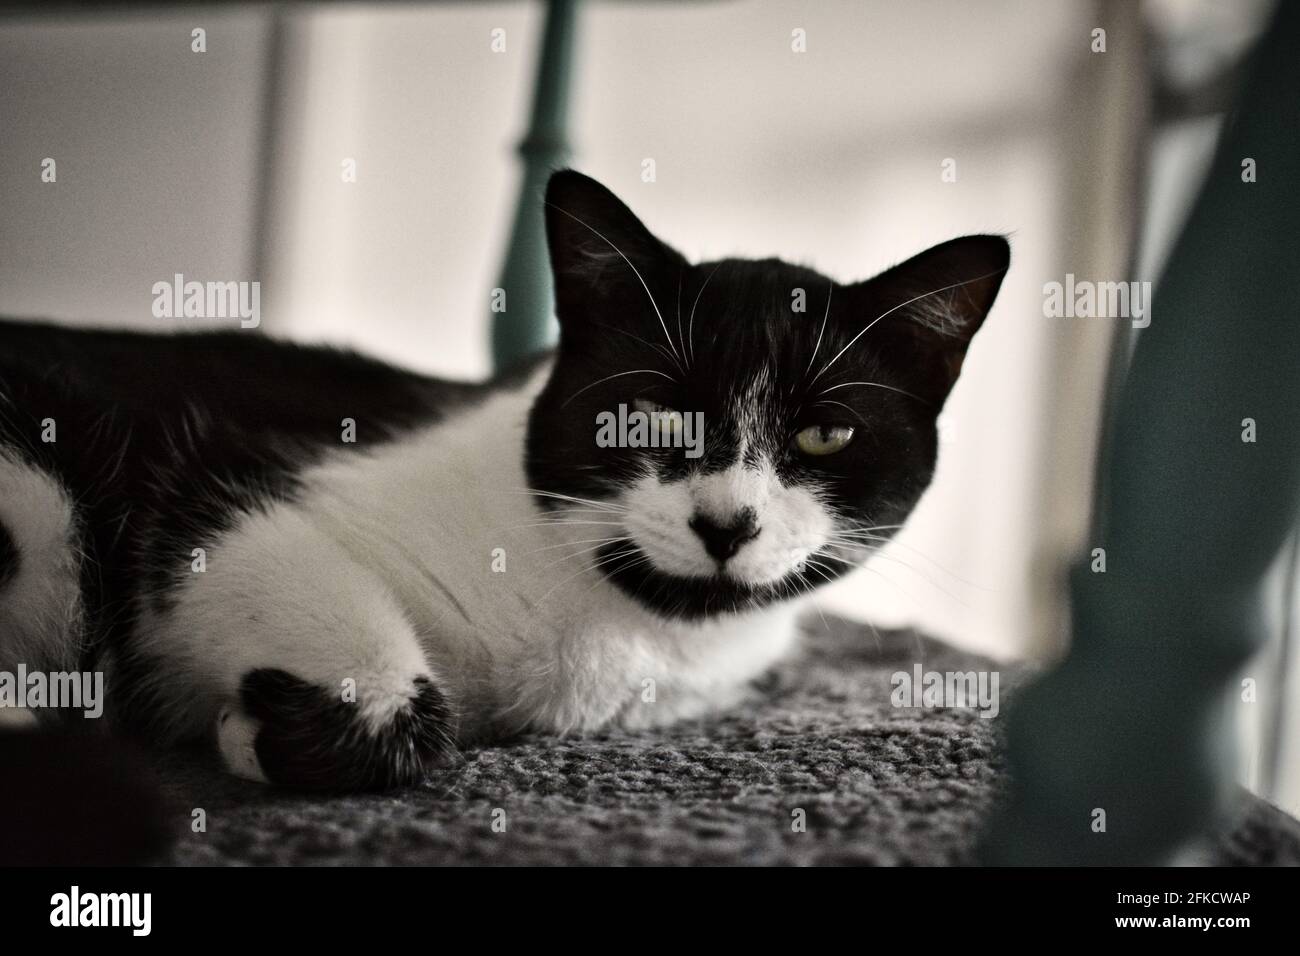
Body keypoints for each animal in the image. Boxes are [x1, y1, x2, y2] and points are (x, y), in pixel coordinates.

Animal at [0, 170, 1003, 790]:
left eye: (825, 433)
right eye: (649, 415)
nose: (727, 525)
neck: (624, 626)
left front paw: (247, 729)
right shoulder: (231, 481)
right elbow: (383, 689)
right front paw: (257, 733)